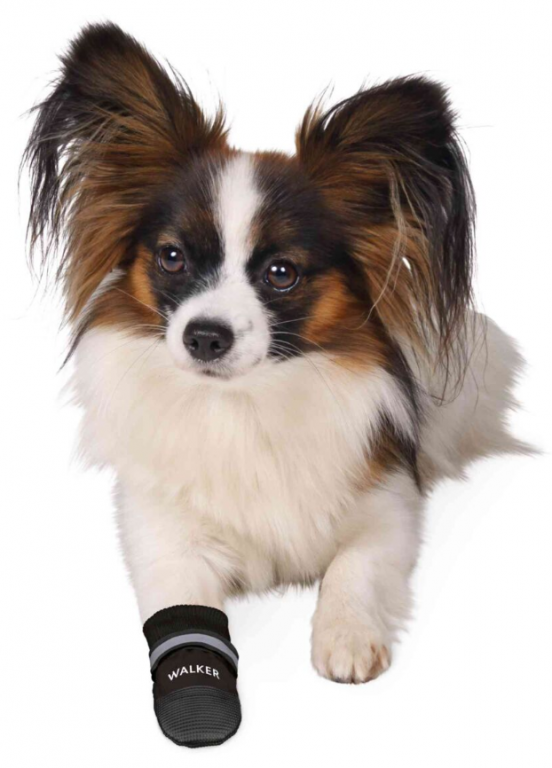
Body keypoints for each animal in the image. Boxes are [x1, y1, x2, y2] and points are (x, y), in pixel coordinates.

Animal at [24, 22, 525, 745]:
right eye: (171, 258)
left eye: (281, 272)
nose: (204, 336)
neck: (245, 401)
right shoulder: (160, 533)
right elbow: (181, 605)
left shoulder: (389, 505)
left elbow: (355, 567)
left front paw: (346, 637)